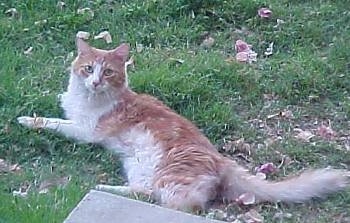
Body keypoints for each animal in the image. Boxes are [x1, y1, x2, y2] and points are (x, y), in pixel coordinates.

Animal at [18, 38, 350, 211]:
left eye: (108, 72)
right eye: (88, 69)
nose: (96, 82)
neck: (88, 98)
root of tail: (222, 160)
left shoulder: (84, 130)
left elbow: (52, 121)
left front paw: (26, 119)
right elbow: (53, 105)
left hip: (168, 177)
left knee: (173, 204)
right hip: (139, 168)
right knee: (143, 191)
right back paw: (102, 187)